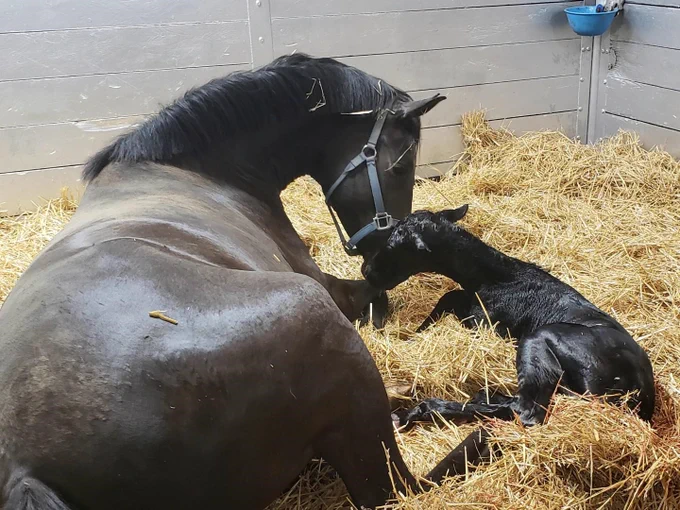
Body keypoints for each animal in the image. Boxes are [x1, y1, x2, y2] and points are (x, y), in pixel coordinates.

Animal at [0, 54, 492, 510]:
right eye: (401, 166)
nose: (381, 250)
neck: (203, 172)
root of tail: (28, 468)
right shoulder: (327, 285)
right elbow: (377, 299)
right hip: (315, 314)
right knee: (399, 487)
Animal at [362, 207, 655, 427]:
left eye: (395, 244)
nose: (366, 270)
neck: (490, 278)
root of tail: (639, 394)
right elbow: (447, 299)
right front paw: (412, 335)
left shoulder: (486, 323)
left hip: (540, 338)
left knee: (527, 411)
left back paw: (417, 411)